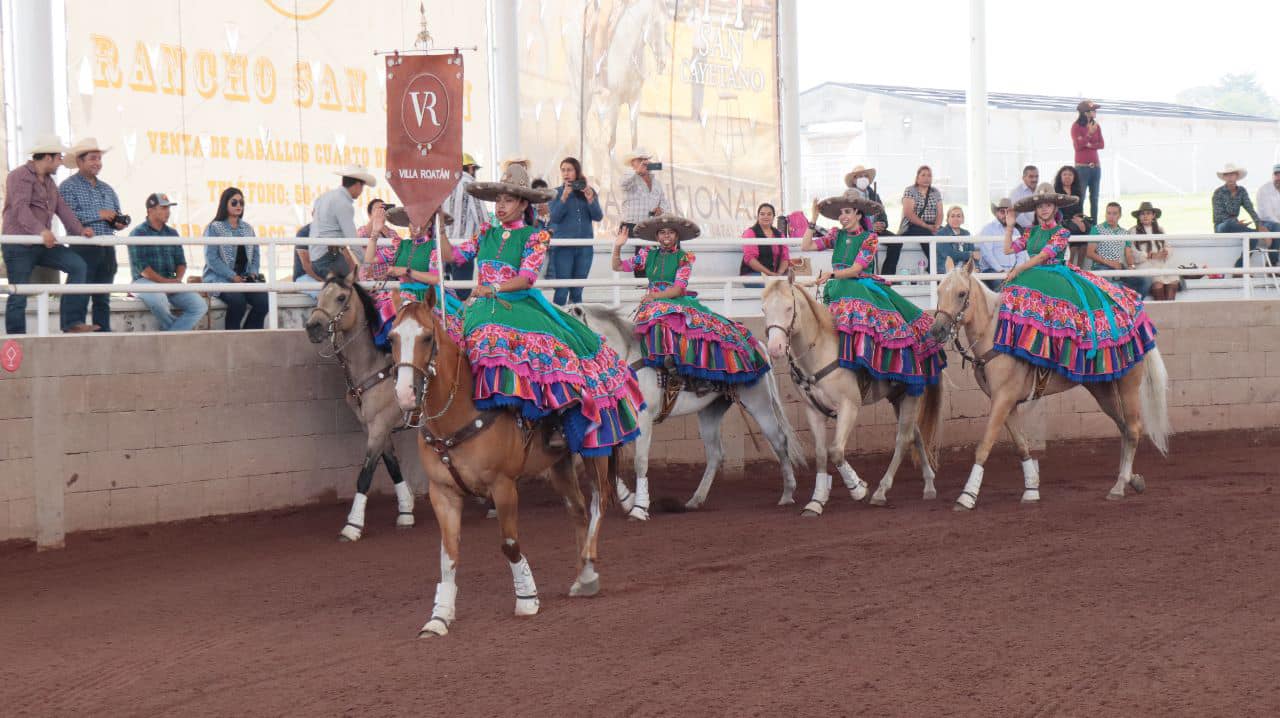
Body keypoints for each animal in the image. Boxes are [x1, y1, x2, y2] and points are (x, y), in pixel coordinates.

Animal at [304, 271, 414, 540]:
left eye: (341, 297)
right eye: (320, 295)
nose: (313, 327)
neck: (375, 367)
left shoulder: (380, 426)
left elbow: (364, 475)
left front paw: (352, 526)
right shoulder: (375, 427)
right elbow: (393, 467)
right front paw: (406, 512)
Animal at [389, 298, 619, 637]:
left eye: (427, 338)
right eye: (391, 338)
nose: (405, 394)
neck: (456, 415)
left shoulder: (504, 486)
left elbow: (510, 545)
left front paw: (527, 599)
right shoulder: (442, 493)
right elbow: (448, 555)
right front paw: (439, 616)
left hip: (596, 449)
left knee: (599, 500)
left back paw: (589, 558)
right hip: (559, 465)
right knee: (578, 510)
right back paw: (584, 577)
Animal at [568, 299, 798, 517]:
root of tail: (758, 345)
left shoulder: (643, 419)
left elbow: (640, 462)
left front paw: (639, 509)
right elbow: (605, 463)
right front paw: (628, 500)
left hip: (759, 403)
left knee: (780, 441)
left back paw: (787, 494)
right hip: (710, 411)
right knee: (715, 453)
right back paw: (695, 500)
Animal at [752, 275, 947, 514]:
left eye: (789, 307)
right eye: (763, 308)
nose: (775, 348)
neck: (820, 352)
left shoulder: (849, 406)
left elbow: (836, 450)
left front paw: (858, 488)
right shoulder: (813, 411)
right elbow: (820, 454)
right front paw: (816, 501)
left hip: (911, 394)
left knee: (903, 439)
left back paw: (881, 492)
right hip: (898, 396)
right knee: (915, 434)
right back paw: (929, 485)